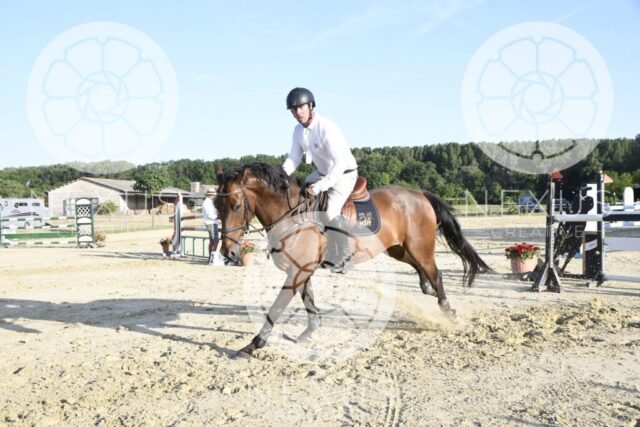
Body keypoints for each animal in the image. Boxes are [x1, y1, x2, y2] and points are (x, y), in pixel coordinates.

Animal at [215, 162, 492, 358]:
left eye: (236, 205)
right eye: (217, 206)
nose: (229, 253)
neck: (291, 215)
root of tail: (419, 194)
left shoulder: (297, 273)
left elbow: (276, 308)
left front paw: (254, 344)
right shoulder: (301, 271)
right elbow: (309, 302)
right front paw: (308, 333)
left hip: (419, 247)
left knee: (436, 275)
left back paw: (448, 313)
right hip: (399, 249)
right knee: (425, 275)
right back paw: (428, 290)